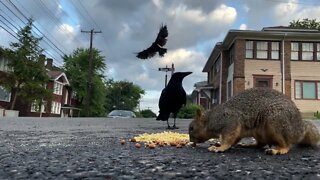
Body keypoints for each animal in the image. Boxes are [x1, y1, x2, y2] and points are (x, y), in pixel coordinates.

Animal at [189, 87, 318, 155]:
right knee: (260, 144)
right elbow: (234, 139)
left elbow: (229, 138)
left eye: (192, 128)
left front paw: (220, 147)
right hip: (259, 133)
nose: (190, 140)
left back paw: (278, 149)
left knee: (287, 144)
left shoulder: (230, 121)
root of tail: (299, 129)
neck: (211, 119)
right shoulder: (237, 130)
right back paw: (248, 145)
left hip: (276, 123)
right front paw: (218, 144)